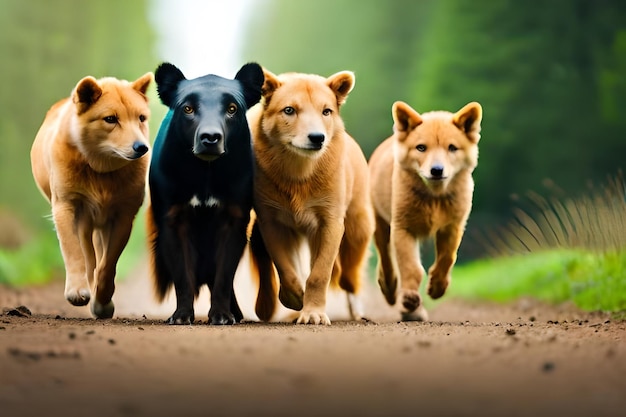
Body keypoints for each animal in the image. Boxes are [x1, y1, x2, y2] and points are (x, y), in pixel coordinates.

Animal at [31, 73, 153, 316]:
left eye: (141, 118)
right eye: (110, 119)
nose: (142, 147)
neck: (101, 171)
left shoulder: (123, 215)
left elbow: (108, 264)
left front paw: (102, 301)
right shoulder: (67, 207)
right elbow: (75, 252)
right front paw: (77, 291)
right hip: (85, 222)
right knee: (88, 256)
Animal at [147, 61, 264, 324]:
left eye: (232, 108)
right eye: (188, 108)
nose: (210, 137)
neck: (206, 175)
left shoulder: (234, 219)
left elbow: (223, 276)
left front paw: (222, 315)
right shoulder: (173, 219)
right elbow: (183, 275)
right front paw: (181, 316)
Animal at [246, 68, 372, 324]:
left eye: (326, 111)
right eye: (289, 110)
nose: (317, 137)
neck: (299, 172)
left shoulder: (330, 222)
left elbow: (319, 274)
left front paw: (313, 313)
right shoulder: (271, 222)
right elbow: (286, 268)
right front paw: (295, 298)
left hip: (357, 229)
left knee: (349, 278)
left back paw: (357, 311)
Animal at [368, 100, 480, 318]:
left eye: (452, 148)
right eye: (421, 148)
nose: (436, 170)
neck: (434, 199)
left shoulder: (453, 226)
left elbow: (447, 258)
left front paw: (437, 287)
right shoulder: (403, 228)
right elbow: (411, 267)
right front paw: (409, 298)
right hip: (381, 225)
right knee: (386, 260)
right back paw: (391, 290)